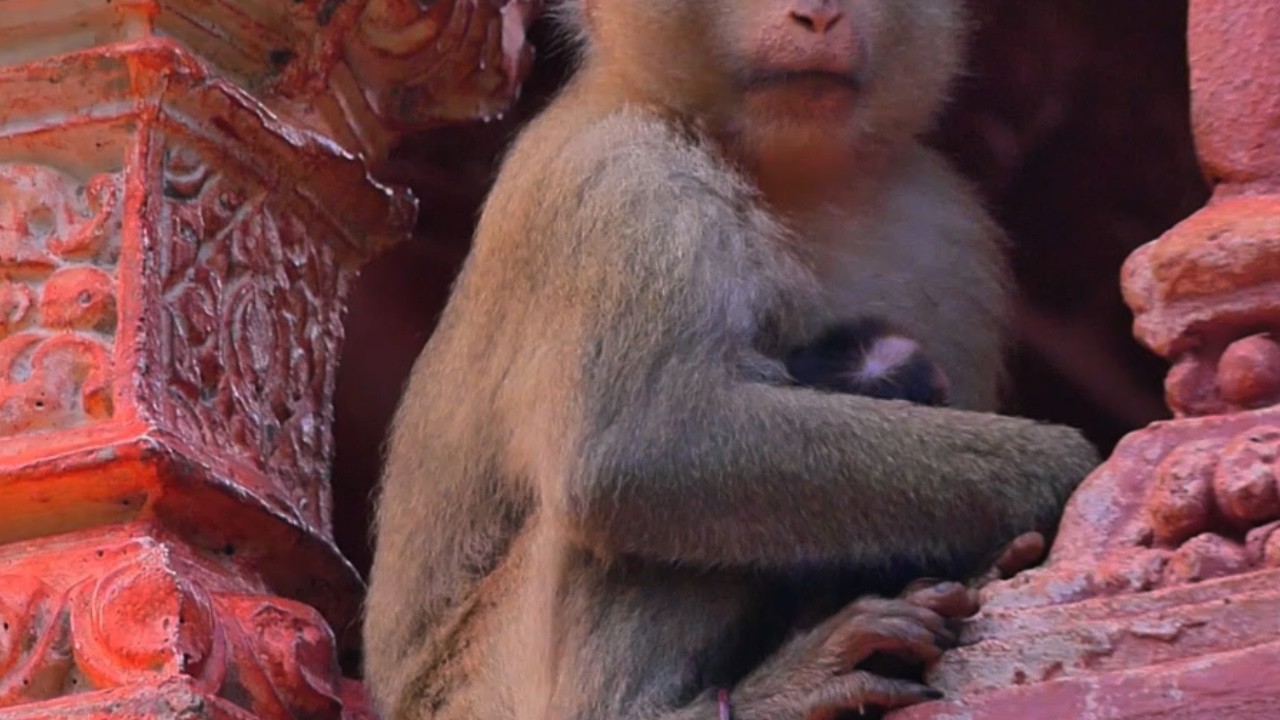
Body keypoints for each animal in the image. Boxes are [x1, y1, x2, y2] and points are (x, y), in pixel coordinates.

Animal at [364, 1, 1101, 719]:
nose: (818, 15)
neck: (784, 170)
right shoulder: (620, 184)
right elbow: (643, 450)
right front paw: (1057, 469)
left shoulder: (949, 233)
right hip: (480, 688)